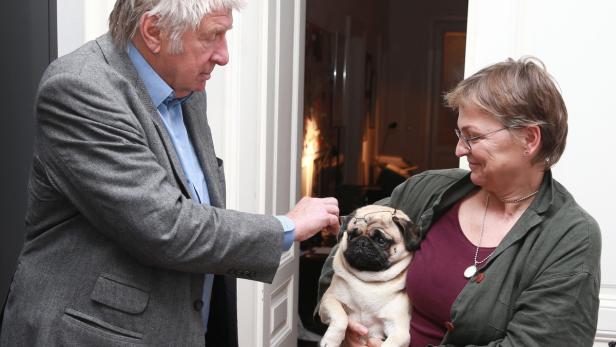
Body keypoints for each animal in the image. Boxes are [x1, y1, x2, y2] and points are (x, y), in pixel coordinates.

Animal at [318, 205, 418, 346]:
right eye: (352, 235)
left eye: (381, 240)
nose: (362, 242)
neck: (368, 279)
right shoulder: (328, 300)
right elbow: (340, 317)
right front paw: (331, 340)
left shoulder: (400, 331)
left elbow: (391, 343)